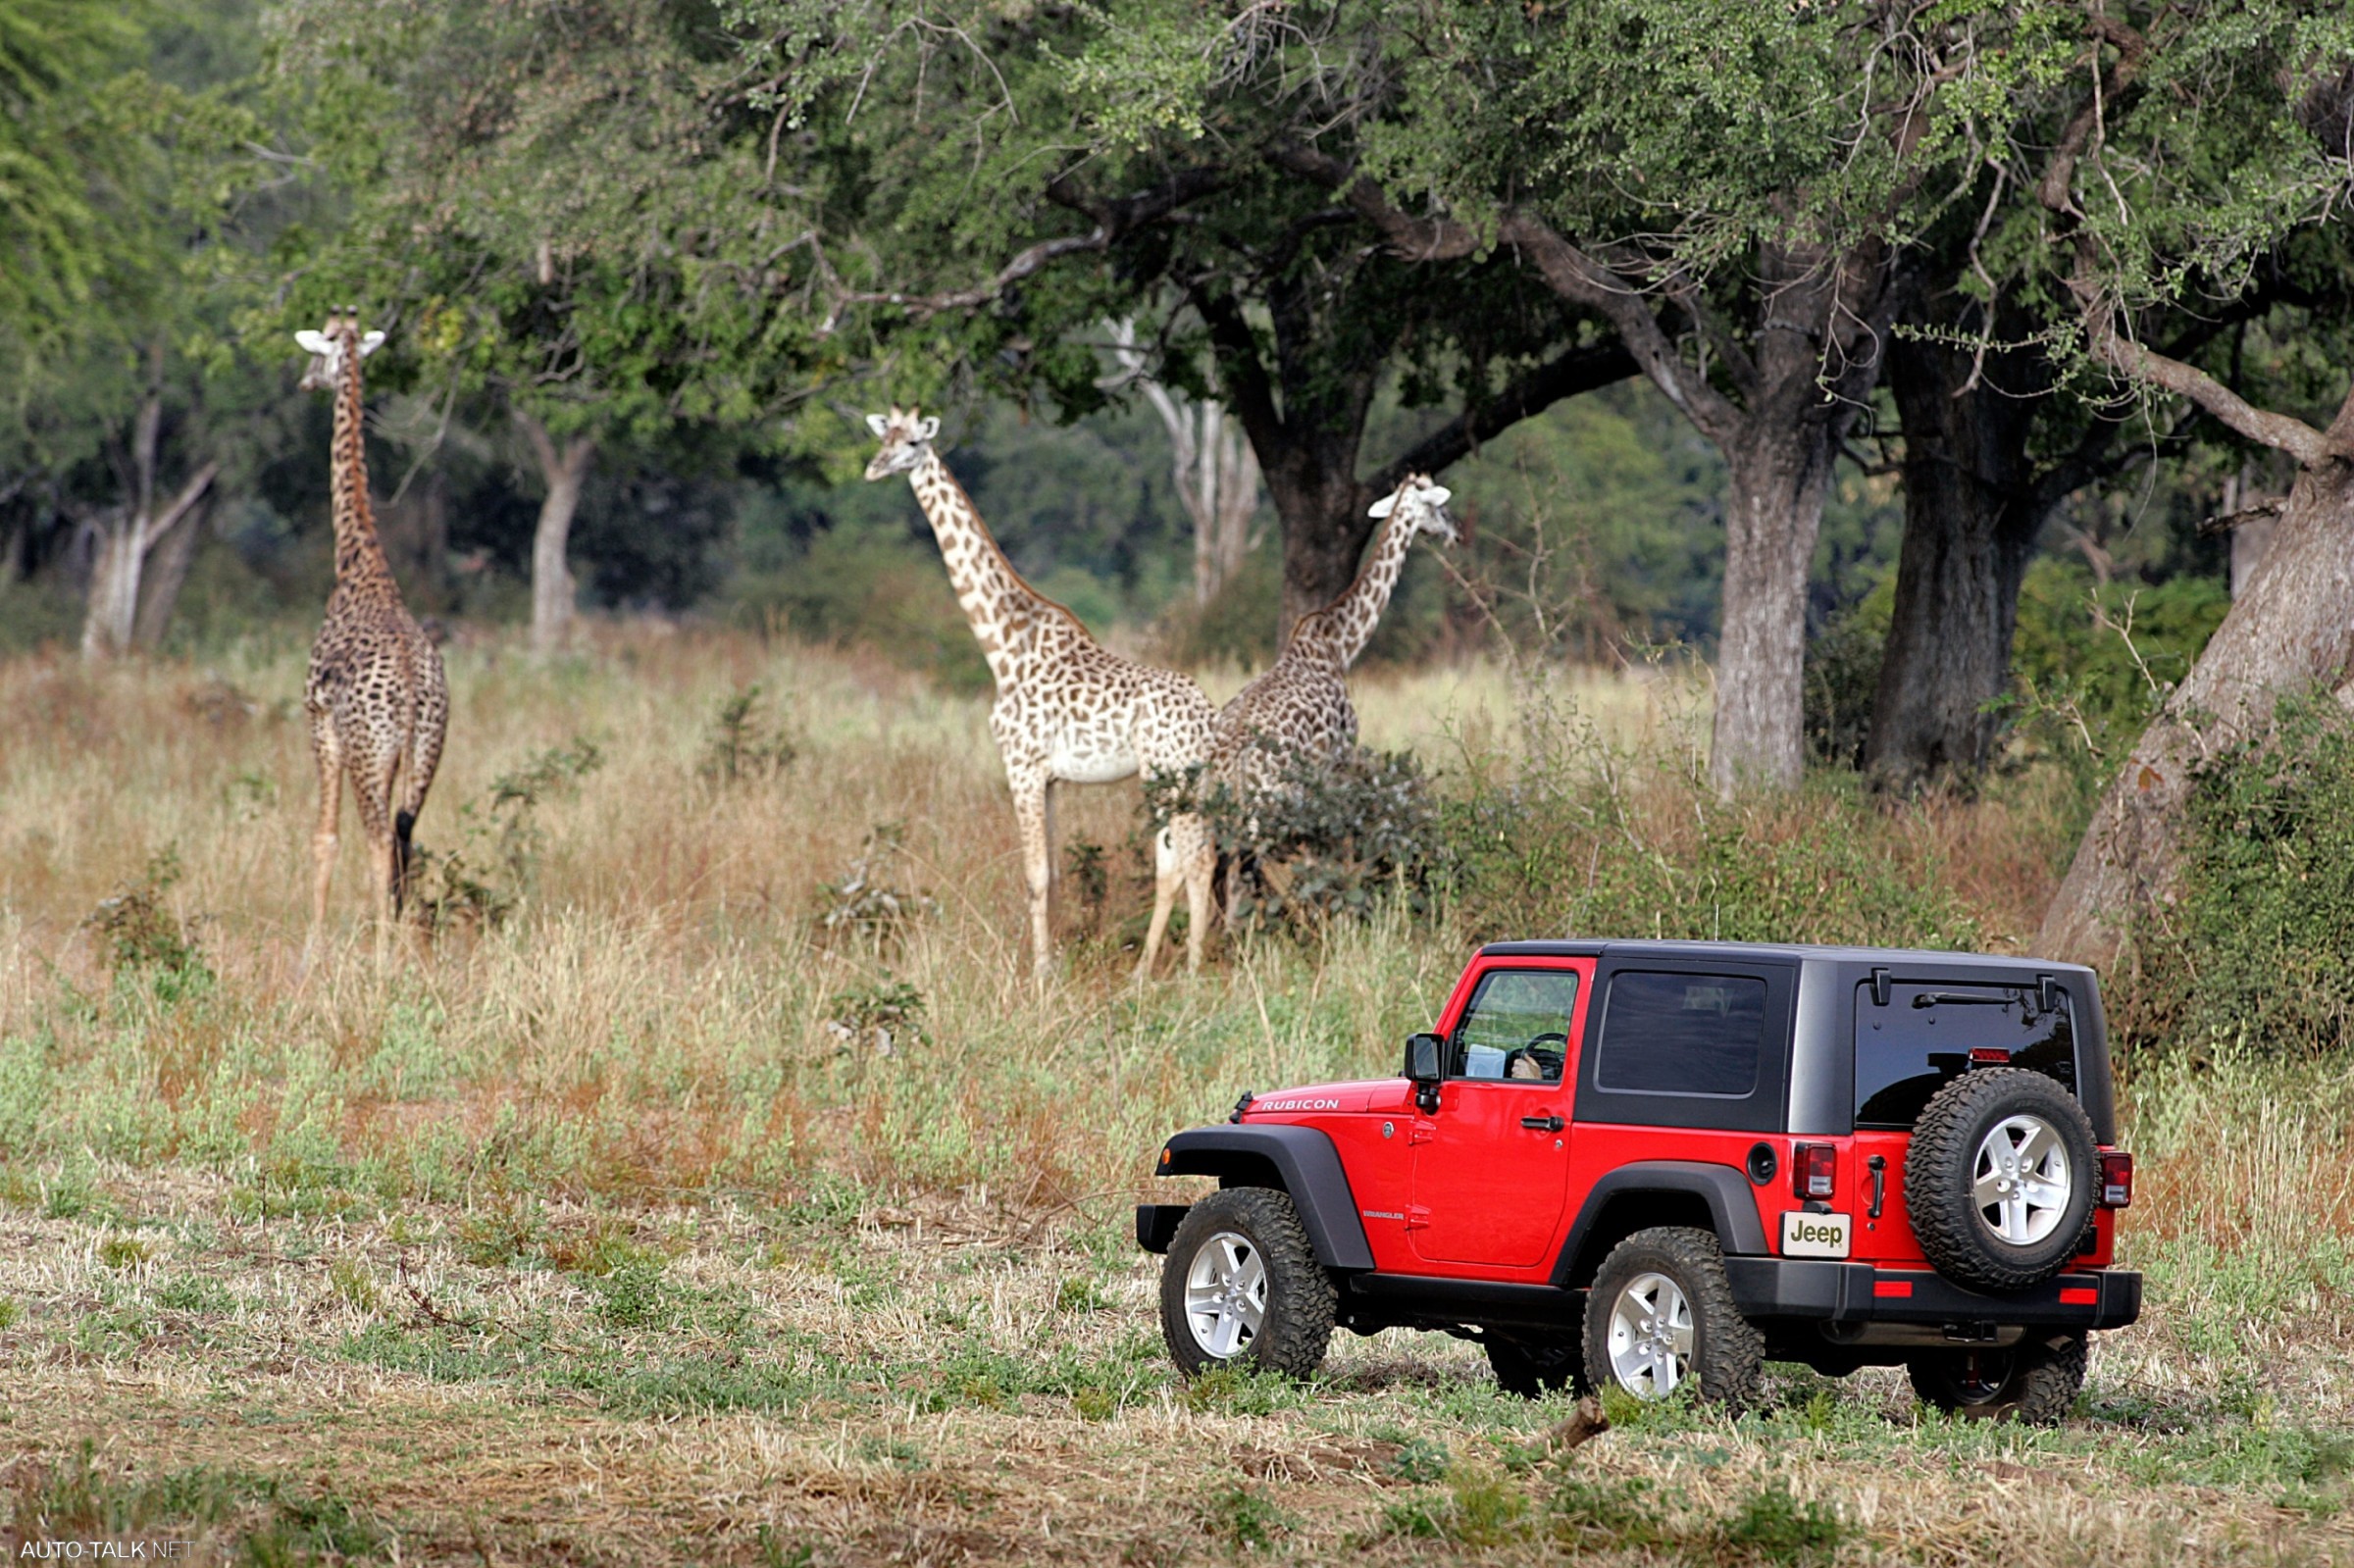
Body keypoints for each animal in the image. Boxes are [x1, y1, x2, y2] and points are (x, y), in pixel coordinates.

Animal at [875, 402, 1224, 979]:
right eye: (884, 439)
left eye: (912, 445)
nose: (874, 468)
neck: (1003, 646)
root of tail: (1209, 717)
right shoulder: (1052, 777)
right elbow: (1055, 873)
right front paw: (1055, 961)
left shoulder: (1020, 766)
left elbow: (1035, 875)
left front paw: (1039, 972)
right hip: (1185, 778)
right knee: (1199, 854)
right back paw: (1172, 966)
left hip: (1165, 776)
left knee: (1185, 860)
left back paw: (1168, 973)